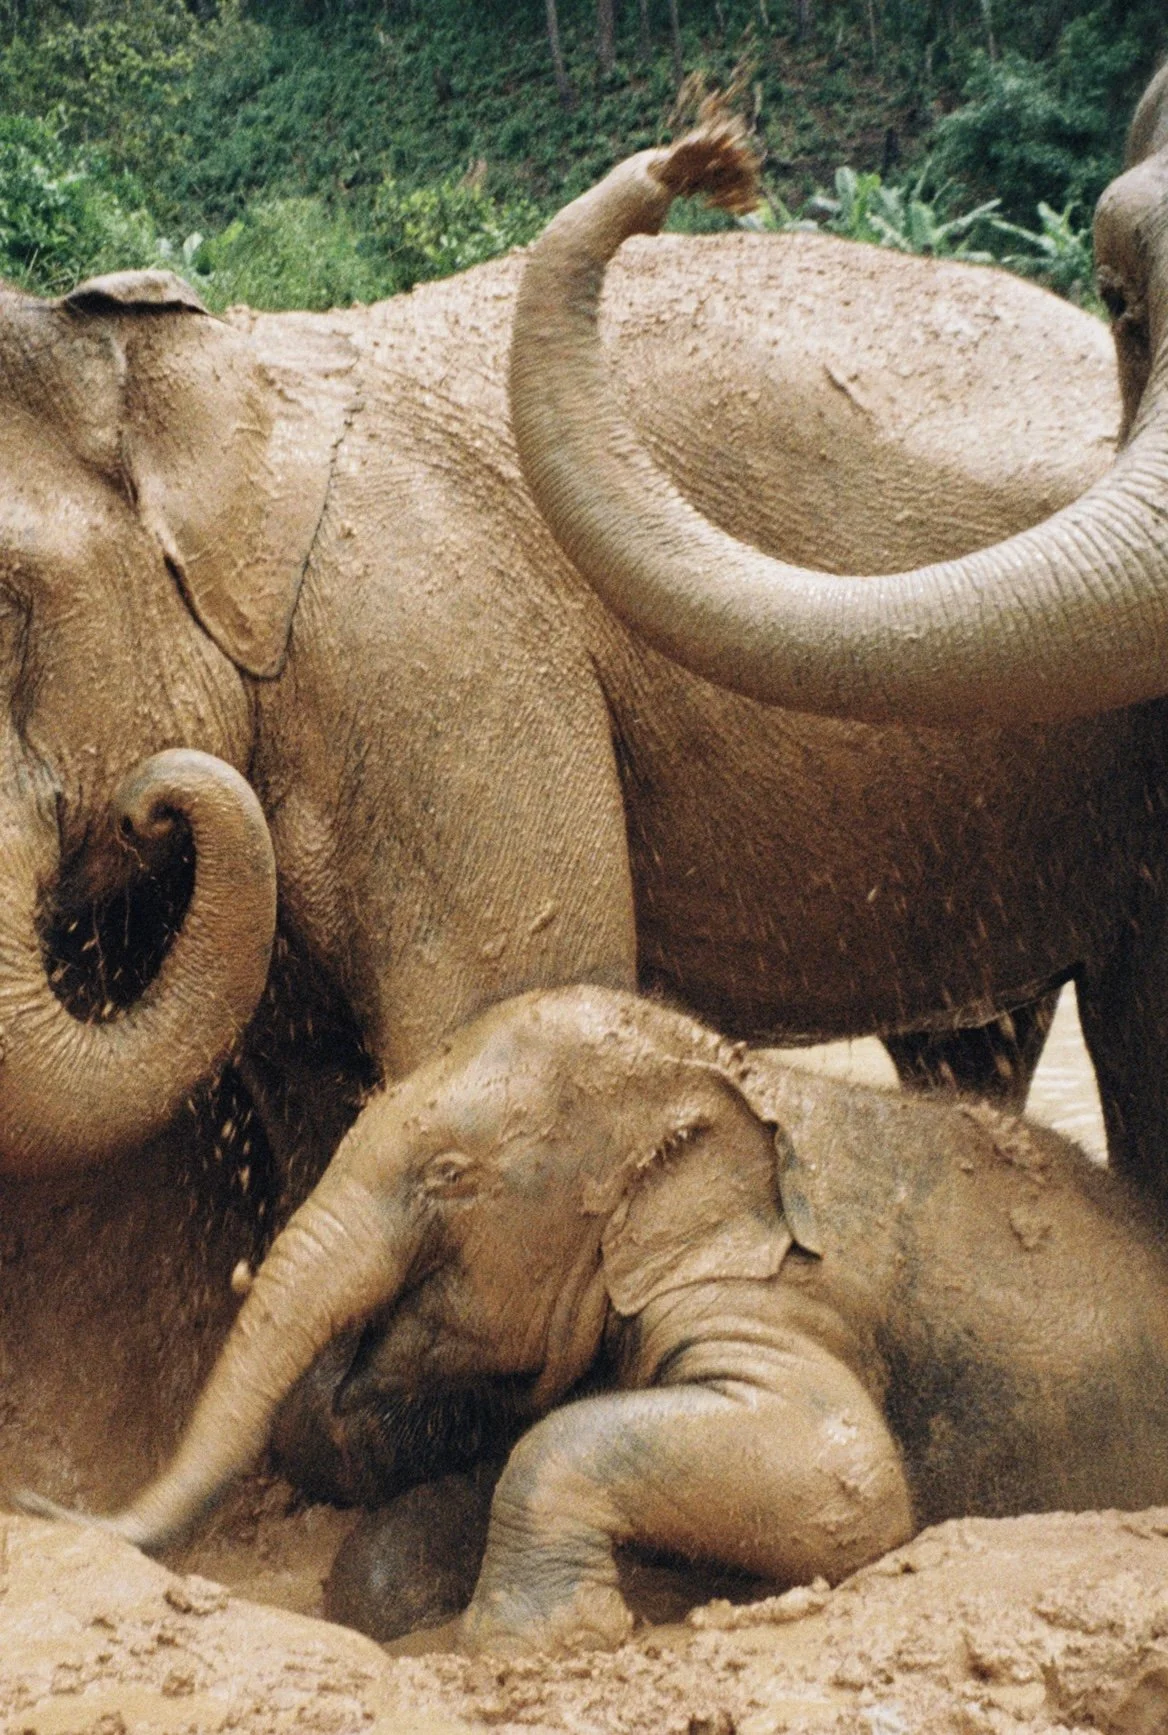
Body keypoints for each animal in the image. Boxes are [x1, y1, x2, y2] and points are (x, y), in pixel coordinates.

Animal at [37, 983, 1168, 1657]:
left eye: (450, 1176)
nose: (37, 1503)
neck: (720, 1068)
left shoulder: (776, 1299)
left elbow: (848, 1480)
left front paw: (534, 1640)